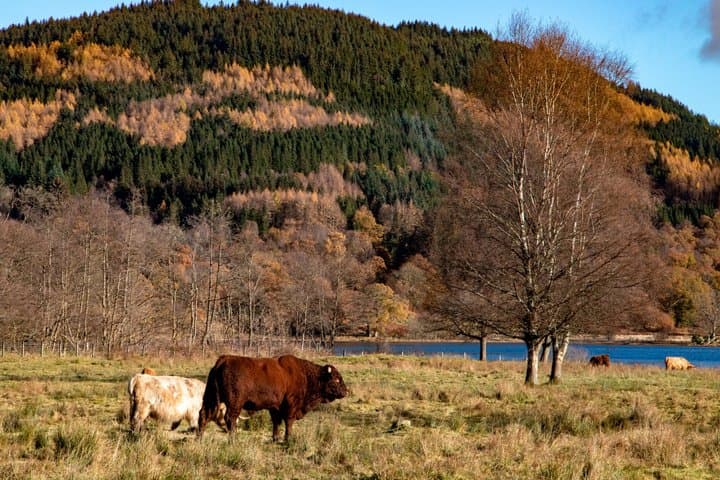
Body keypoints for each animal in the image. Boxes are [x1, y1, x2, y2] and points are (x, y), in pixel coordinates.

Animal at [197, 354, 348, 442]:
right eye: (336, 379)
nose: (346, 391)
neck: (306, 375)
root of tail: (223, 359)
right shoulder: (291, 406)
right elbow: (288, 421)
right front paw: (288, 438)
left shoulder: (275, 407)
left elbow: (276, 422)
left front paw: (275, 438)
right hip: (235, 403)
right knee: (230, 418)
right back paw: (234, 439)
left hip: (210, 397)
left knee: (204, 414)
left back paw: (199, 438)